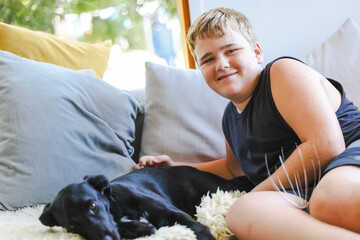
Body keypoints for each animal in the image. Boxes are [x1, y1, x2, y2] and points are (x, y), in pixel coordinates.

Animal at [40, 166, 253, 239]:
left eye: (93, 205)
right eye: (73, 226)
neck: (117, 208)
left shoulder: (174, 213)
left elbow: (199, 229)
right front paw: (138, 228)